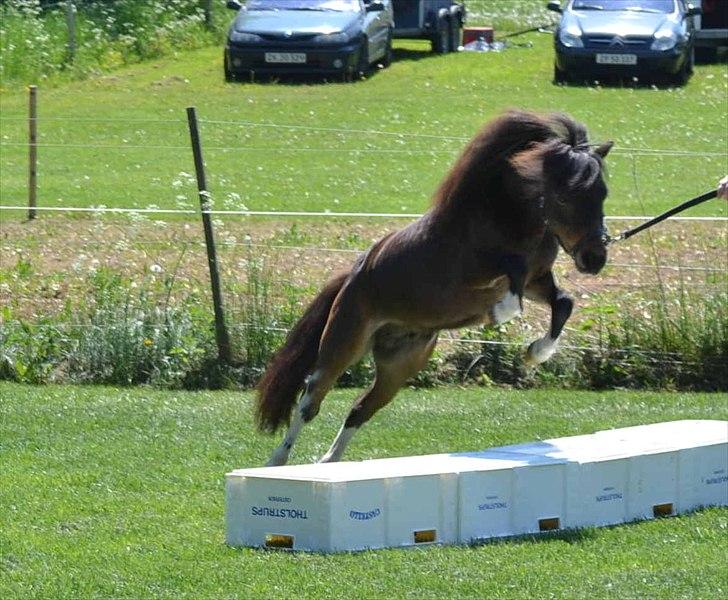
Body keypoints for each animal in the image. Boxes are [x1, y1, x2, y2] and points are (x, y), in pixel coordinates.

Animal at [255, 110, 608, 466]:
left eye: (603, 193)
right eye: (565, 196)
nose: (596, 258)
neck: (509, 217)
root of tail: (352, 276)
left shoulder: (537, 280)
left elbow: (562, 303)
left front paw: (536, 352)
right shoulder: (475, 276)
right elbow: (512, 285)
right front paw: (499, 313)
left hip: (400, 367)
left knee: (360, 409)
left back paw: (328, 461)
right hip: (342, 345)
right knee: (309, 402)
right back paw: (277, 461)